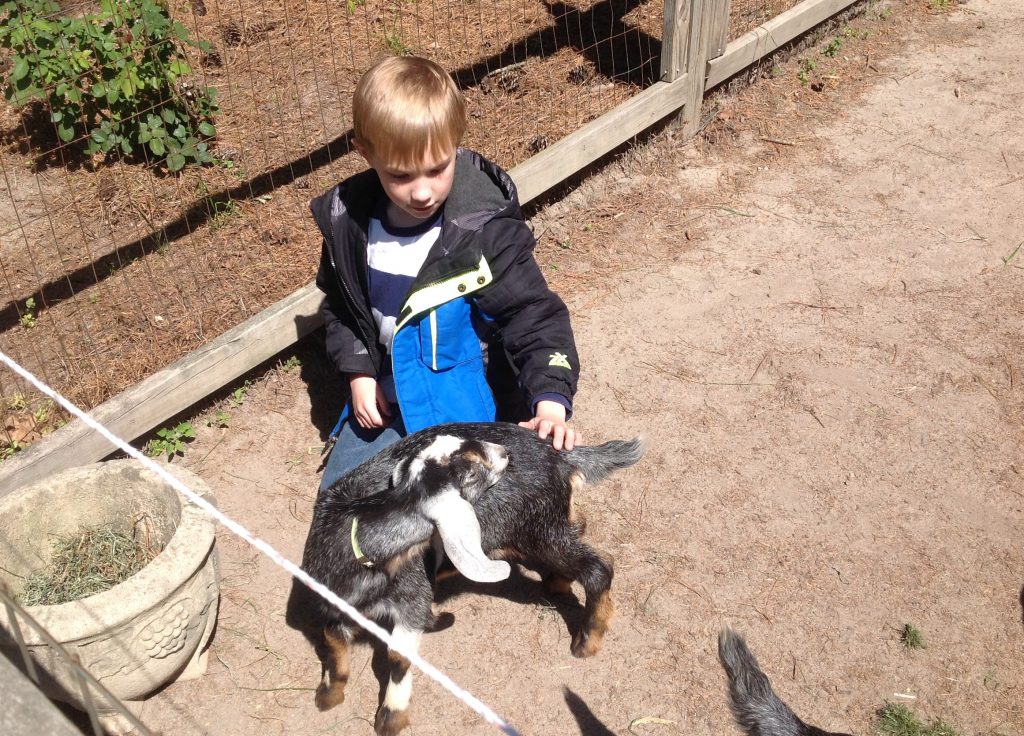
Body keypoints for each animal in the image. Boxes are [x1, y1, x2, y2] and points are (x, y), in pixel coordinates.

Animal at [292, 423, 647, 732]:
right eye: (472, 469)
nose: (505, 453)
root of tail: (558, 456)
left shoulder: (414, 598)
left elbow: (397, 654)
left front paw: (392, 716)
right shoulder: (333, 599)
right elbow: (332, 638)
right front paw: (328, 695)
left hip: (539, 530)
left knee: (598, 566)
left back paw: (588, 639)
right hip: (547, 525)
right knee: (579, 528)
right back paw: (558, 583)